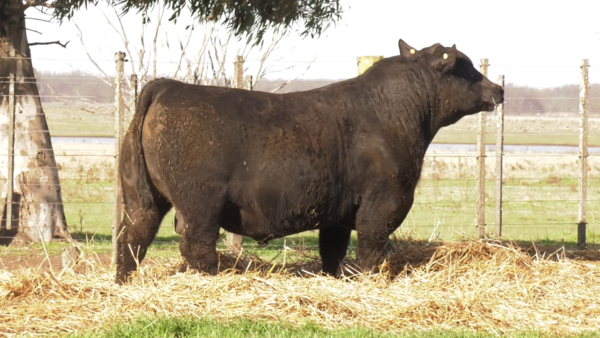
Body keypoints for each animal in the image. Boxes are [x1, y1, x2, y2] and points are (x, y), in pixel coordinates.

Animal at [115, 39, 504, 282]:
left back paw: (123, 283)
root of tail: (168, 86)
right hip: (200, 203)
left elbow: (332, 251)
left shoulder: (338, 213)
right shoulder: (385, 201)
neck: (397, 111)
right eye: (466, 67)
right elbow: (371, 248)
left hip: (142, 198)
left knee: (131, 239)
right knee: (196, 245)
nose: (499, 89)